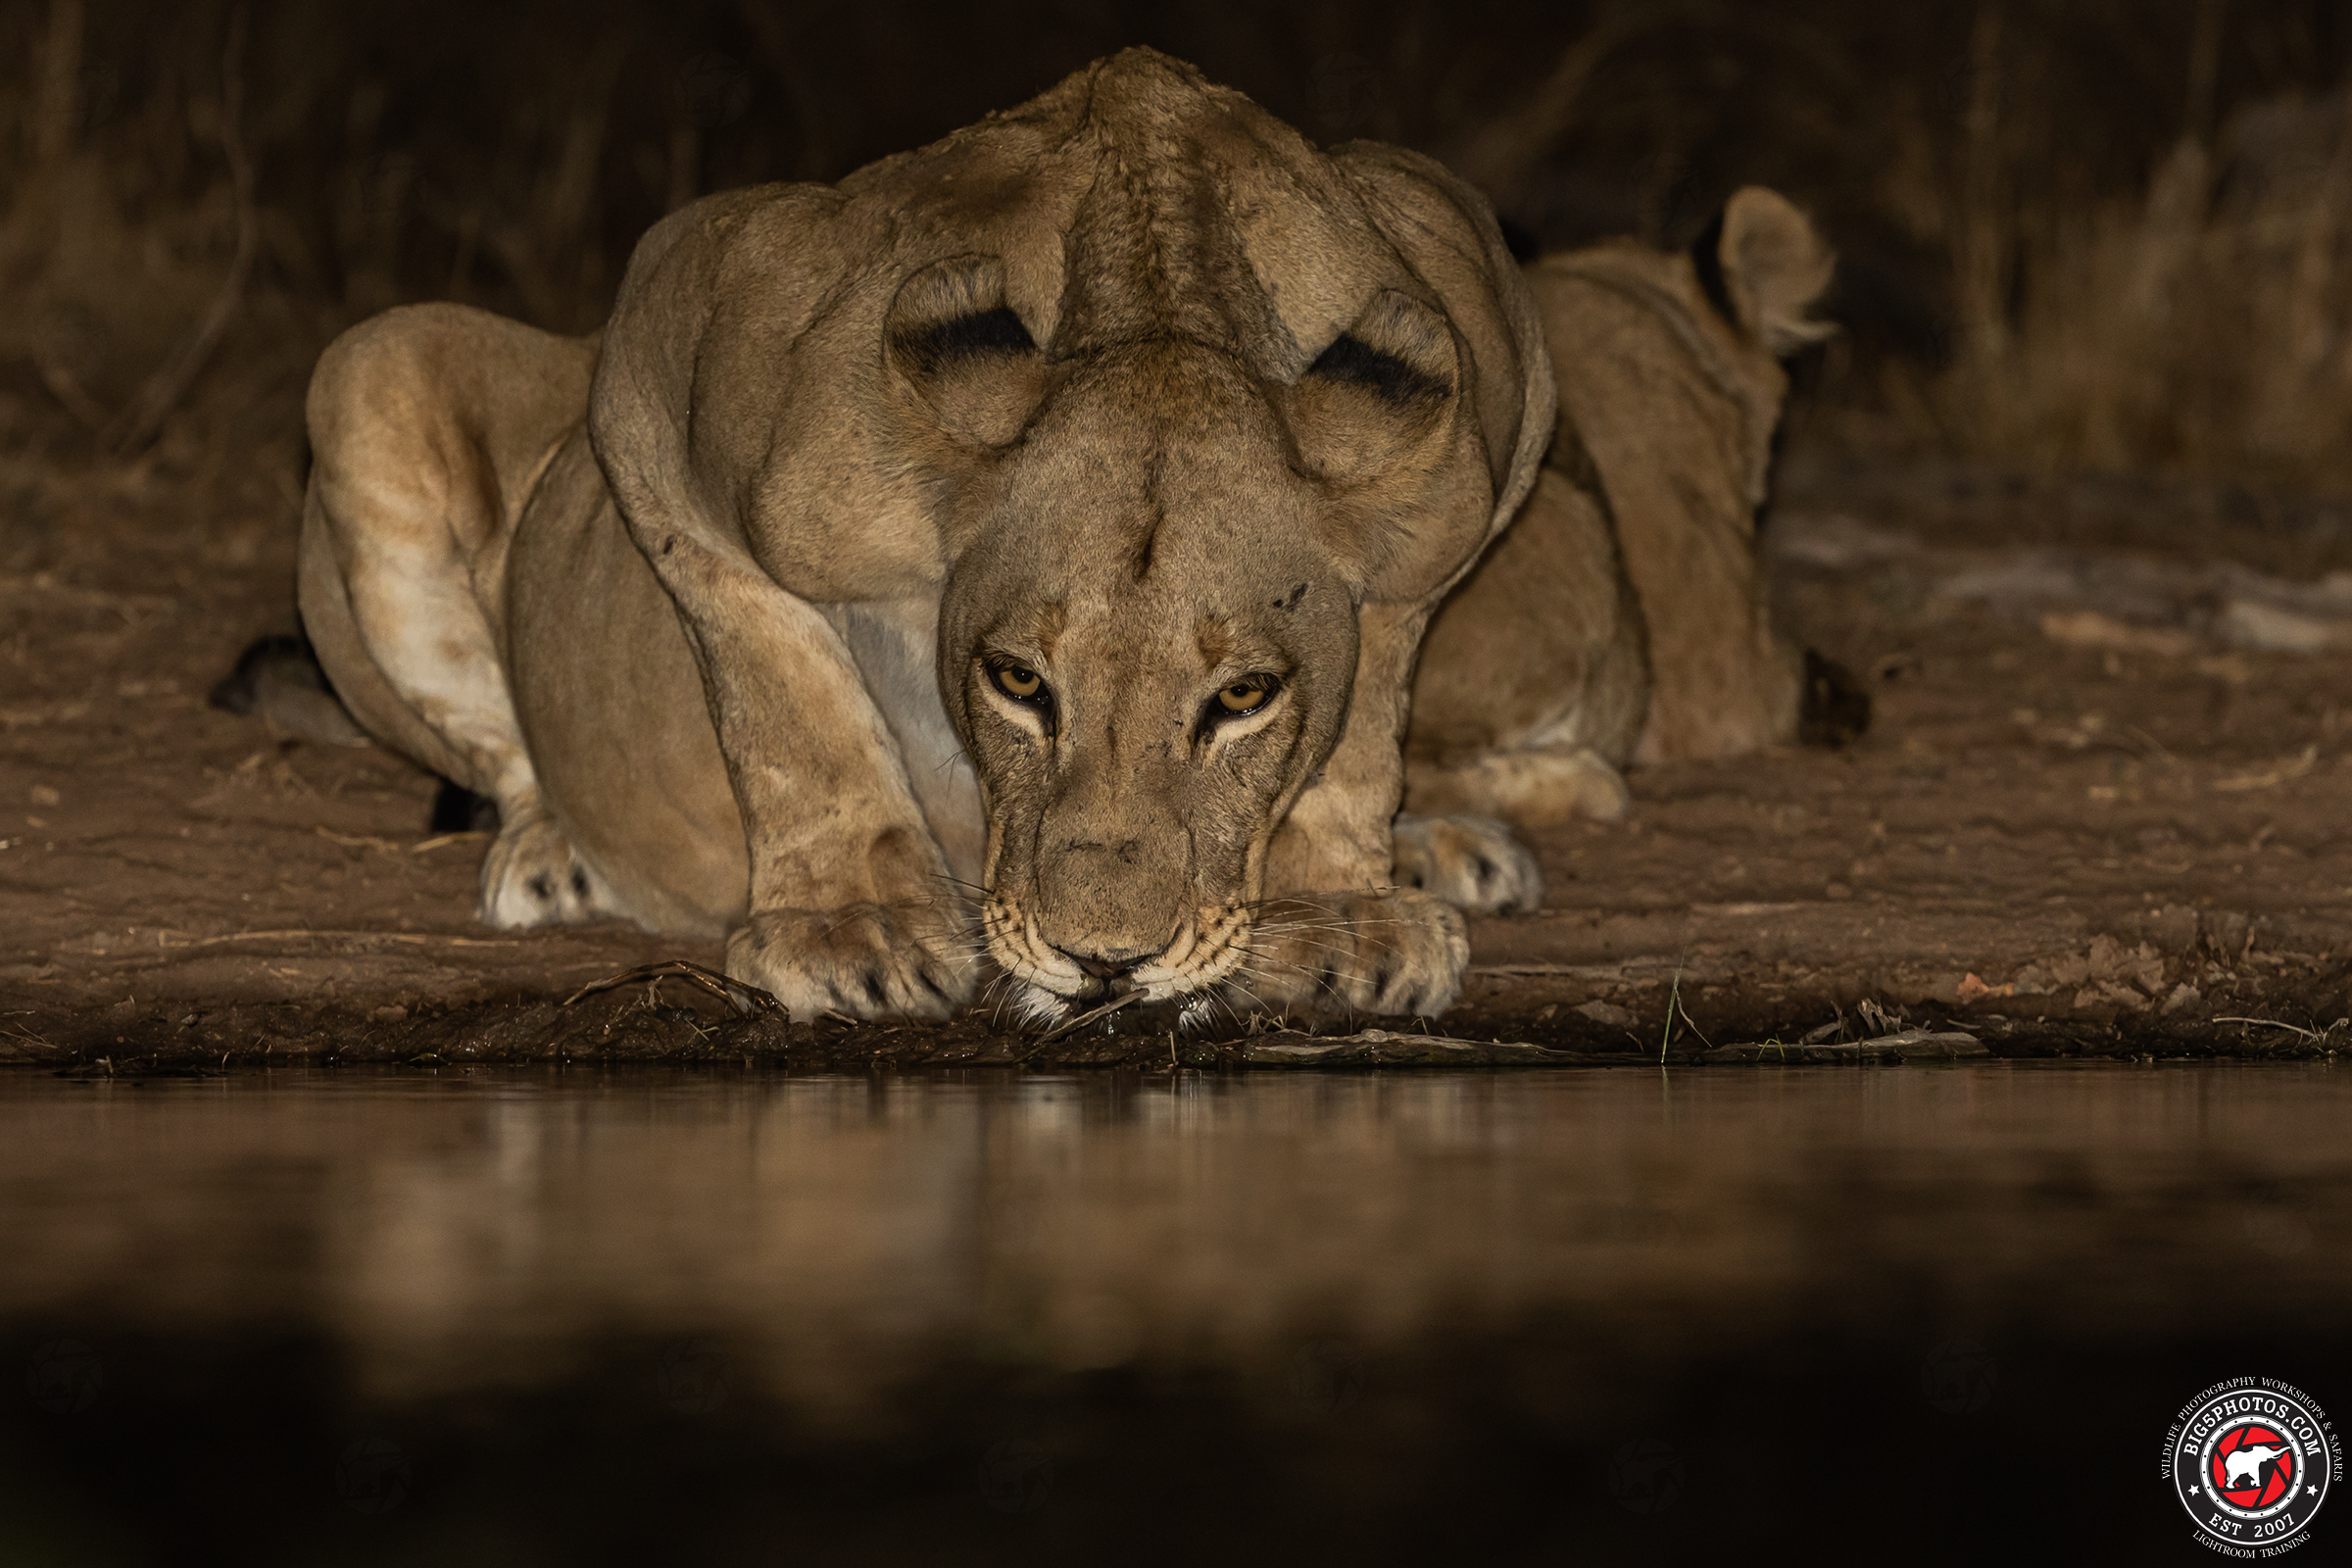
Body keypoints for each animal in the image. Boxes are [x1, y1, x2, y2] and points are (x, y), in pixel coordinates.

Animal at [295, 48, 1835, 1026]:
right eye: (1017, 682)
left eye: (1243, 695)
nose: (1105, 965)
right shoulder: (678, 327)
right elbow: (783, 693)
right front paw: (850, 929)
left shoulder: (1487, 392)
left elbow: (1369, 705)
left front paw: (1338, 912)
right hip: (372, 365)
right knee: (500, 740)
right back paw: (552, 851)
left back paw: (1451, 842)